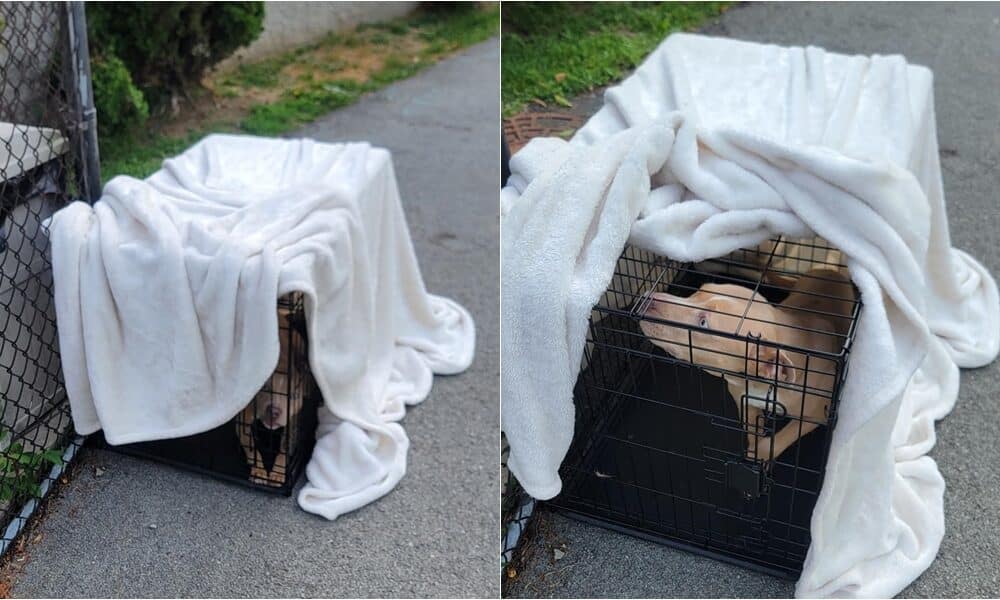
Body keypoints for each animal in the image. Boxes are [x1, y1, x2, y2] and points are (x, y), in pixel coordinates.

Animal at [636, 270, 856, 462]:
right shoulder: (742, 396)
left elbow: (776, 440)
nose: (646, 299)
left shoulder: (816, 415)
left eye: (703, 323)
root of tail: (830, 270)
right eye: (698, 291)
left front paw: (759, 456)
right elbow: (751, 427)